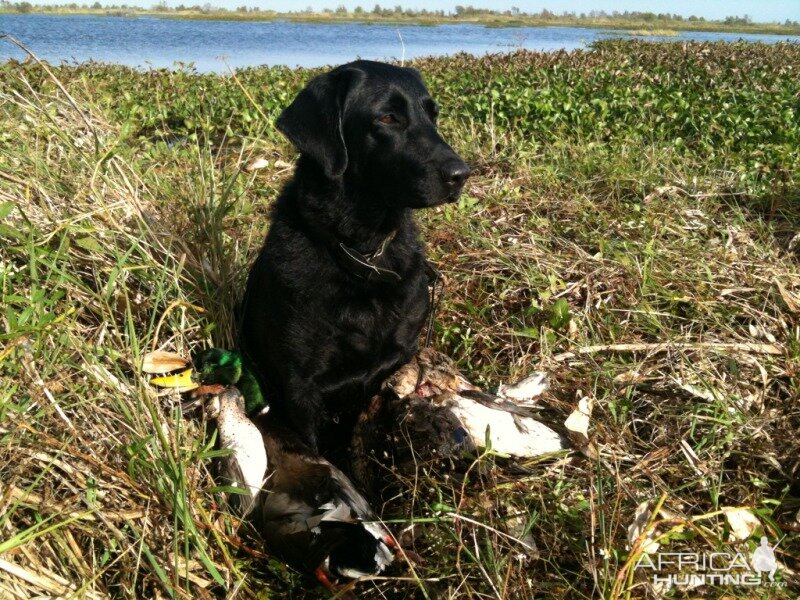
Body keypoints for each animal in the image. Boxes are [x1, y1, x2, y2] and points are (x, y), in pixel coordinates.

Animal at [241, 61, 472, 454]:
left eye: (432, 115)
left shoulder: (396, 360)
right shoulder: (300, 387)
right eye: (387, 117)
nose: (461, 174)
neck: (364, 253)